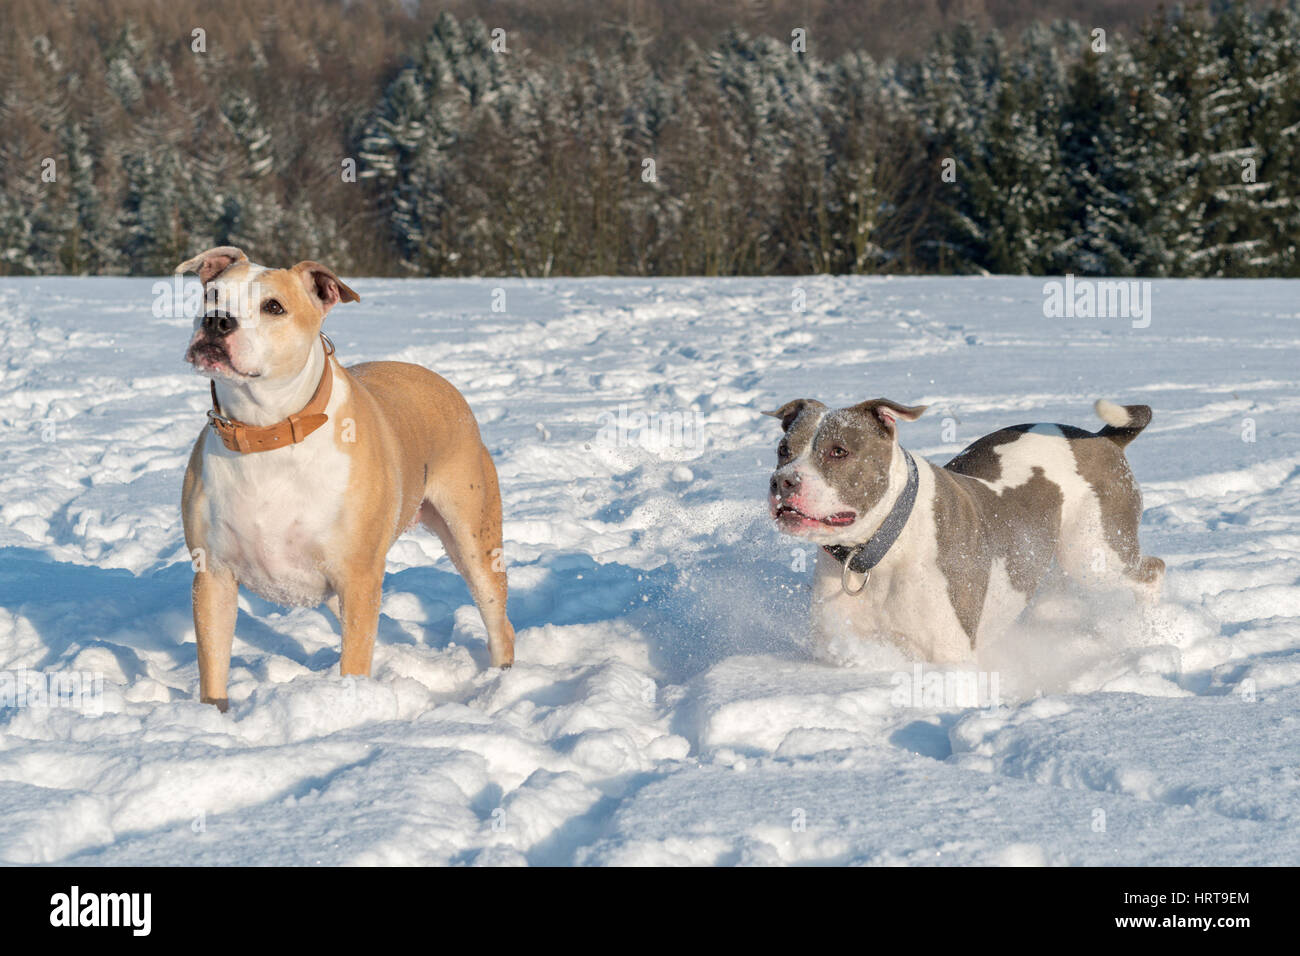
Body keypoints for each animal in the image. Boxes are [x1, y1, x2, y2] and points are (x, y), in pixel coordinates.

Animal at [178, 247, 512, 712]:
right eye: (211, 295)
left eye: (273, 307)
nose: (217, 321)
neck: (266, 432)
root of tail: (438, 379)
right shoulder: (213, 575)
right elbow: (213, 668)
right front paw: (213, 717)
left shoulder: (357, 575)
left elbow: (353, 661)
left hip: (471, 537)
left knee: (496, 616)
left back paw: (503, 682)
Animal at [764, 398, 1164, 665]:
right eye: (783, 449)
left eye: (838, 451)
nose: (783, 481)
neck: (882, 549)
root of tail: (1101, 438)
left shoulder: (947, 654)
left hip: (1095, 554)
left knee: (1151, 572)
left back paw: (1149, 632)